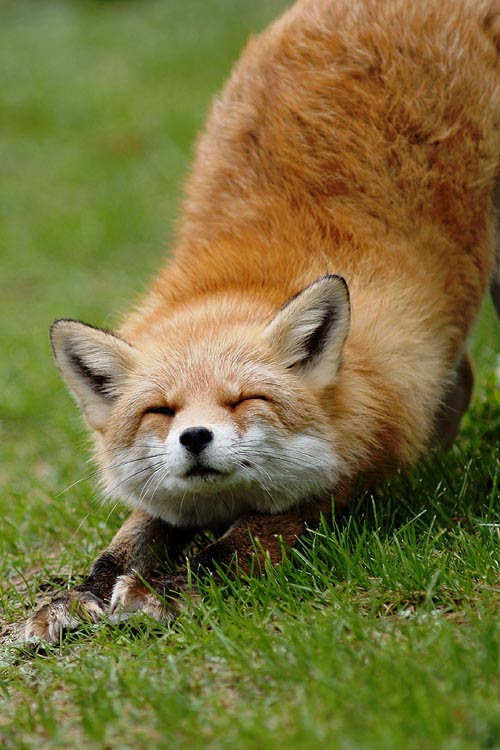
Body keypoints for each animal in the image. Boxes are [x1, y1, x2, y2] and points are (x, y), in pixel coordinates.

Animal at [25, 0, 500, 644]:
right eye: (161, 412)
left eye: (244, 400)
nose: (195, 437)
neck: (239, 280)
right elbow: (129, 537)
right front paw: (81, 595)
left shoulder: (371, 432)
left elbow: (247, 538)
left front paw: (170, 587)